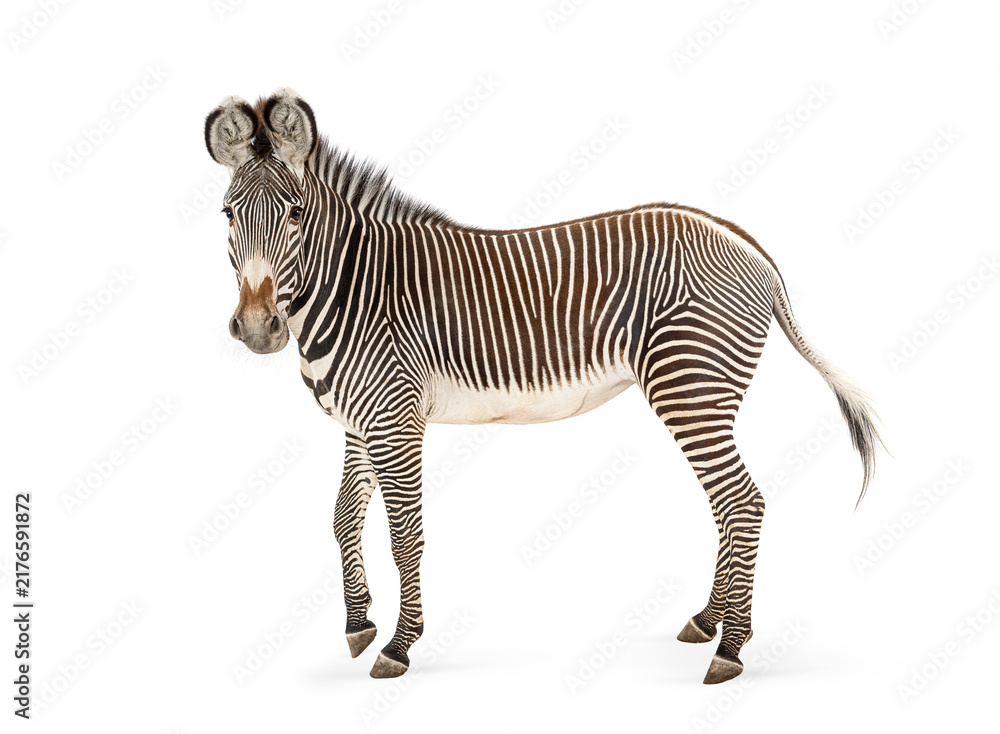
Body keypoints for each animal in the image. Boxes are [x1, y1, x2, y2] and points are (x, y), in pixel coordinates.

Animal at [204, 88, 882, 685]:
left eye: (296, 214)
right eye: (229, 215)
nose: (258, 329)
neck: (347, 288)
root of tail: (744, 243)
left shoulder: (394, 418)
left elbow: (404, 534)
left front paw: (399, 644)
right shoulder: (358, 419)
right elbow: (344, 517)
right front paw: (357, 624)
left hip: (690, 387)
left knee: (742, 503)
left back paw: (732, 648)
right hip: (703, 395)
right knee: (728, 506)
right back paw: (707, 621)